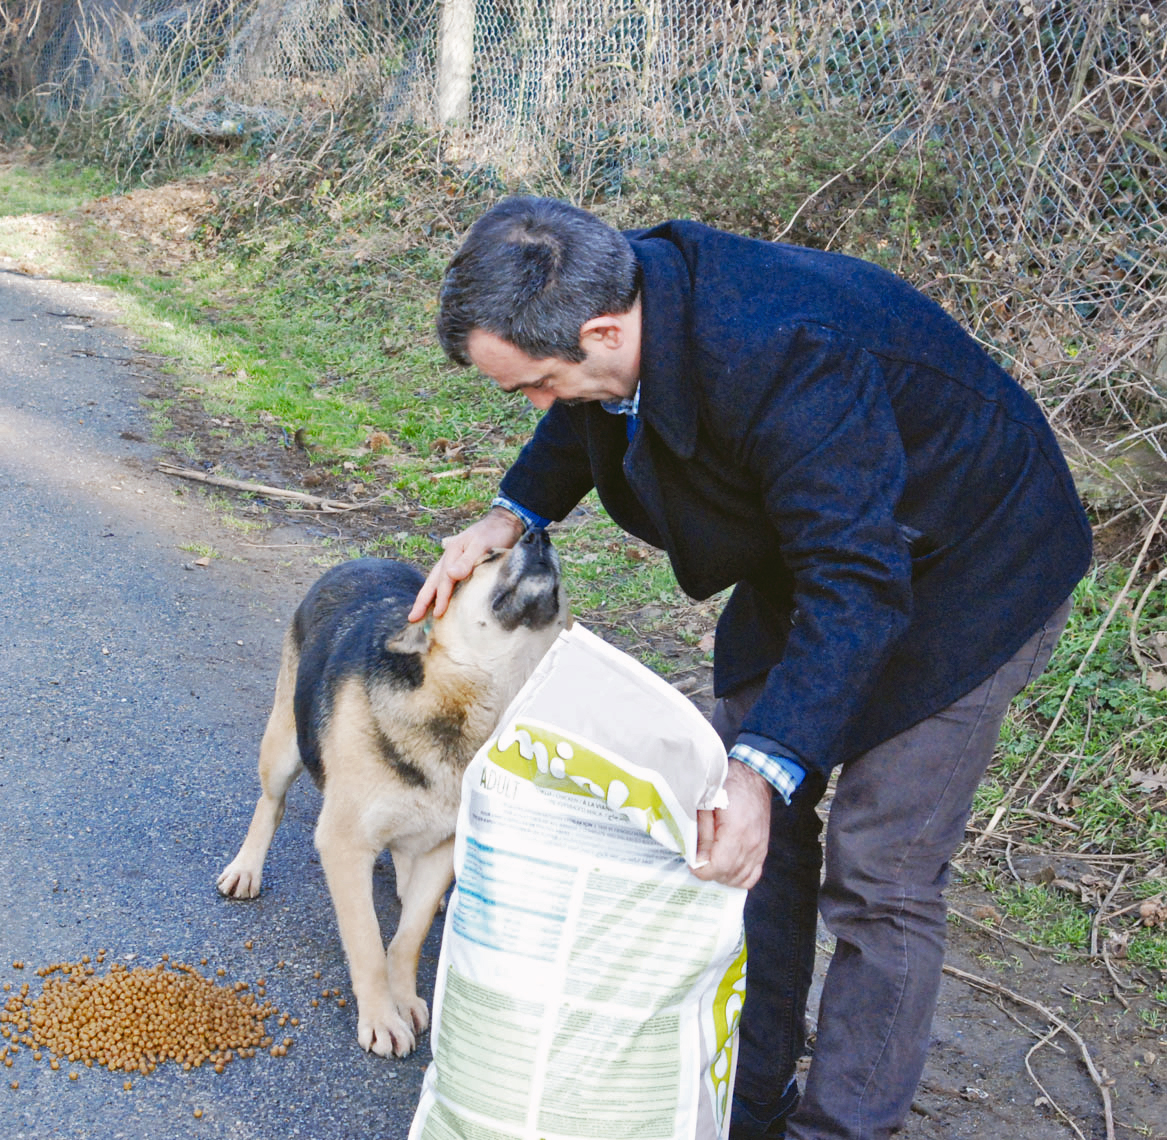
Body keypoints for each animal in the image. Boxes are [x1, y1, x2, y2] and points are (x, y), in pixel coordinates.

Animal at [219, 529, 569, 1054]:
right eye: (488, 556)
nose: (538, 533)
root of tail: (361, 559)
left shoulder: (444, 847)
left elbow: (409, 937)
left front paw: (401, 997)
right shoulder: (344, 844)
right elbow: (366, 939)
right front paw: (382, 1016)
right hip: (283, 748)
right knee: (271, 805)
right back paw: (245, 868)